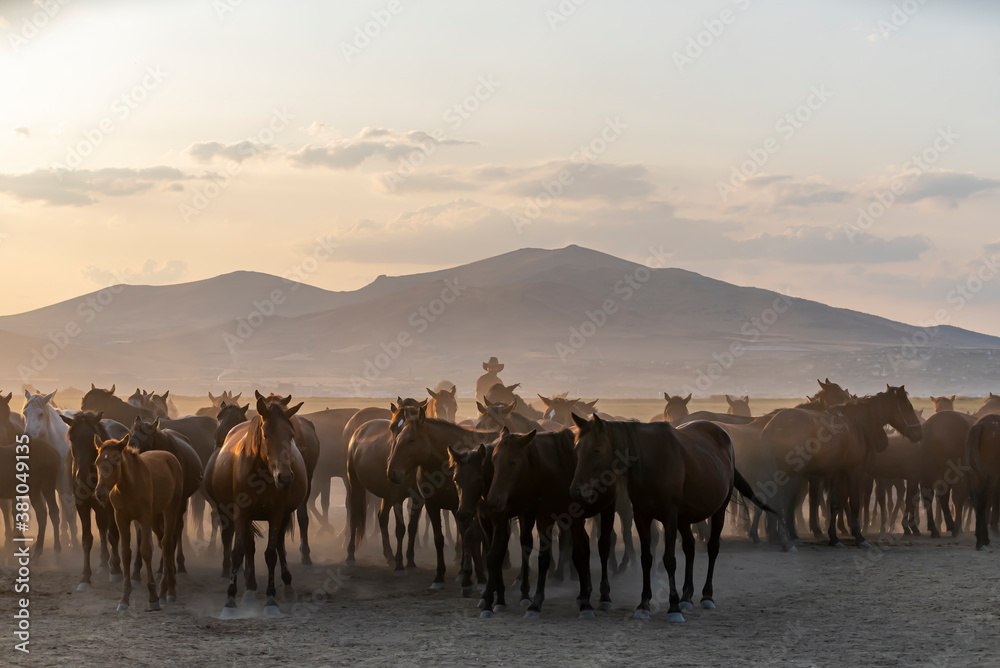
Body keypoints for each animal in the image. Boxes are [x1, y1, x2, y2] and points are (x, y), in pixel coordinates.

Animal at [22, 392, 75, 548]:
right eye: (25, 413)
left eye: (40, 414)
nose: (27, 436)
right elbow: (44, 511)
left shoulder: (64, 481)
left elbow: (68, 509)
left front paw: (76, 543)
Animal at [94, 436, 185, 612]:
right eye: (97, 462)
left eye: (116, 462)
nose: (100, 493)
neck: (127, 487)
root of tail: (171, 458)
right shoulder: (121, 518)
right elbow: (125, 553)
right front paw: (124, 599)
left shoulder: (145, 518)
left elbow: (146, 551)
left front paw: (153, 597)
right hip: (156, 519)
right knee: (163, 543)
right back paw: (167, 589)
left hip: (170, 510)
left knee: (167, 543)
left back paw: (167, 591)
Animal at [205, 392, 306, 616]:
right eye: (266, 435)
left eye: (291, 435)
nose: (285, 478)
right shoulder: (241, 513)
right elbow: (239, 551)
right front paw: (230, 600)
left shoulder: (277, 514)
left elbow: (271, 554)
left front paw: (271, 600)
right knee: (249, 547)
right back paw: (249, 590)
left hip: (284, 516)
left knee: (279, 546)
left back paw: (287, 587)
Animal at [572, 418, 764, 620]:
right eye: (577, 449)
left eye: (596, 450)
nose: (576, 491)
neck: (652, 462)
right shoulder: (641, 516)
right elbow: (646, 559)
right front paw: (644, 604)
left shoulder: (670, 517)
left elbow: (669, 560)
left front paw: (673, 607)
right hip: (684, 518)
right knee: (689, 548)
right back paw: (687, 597)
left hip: (718, 510)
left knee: (712, 549)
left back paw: (706, 596)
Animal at [760, 386, 924, 548]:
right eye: (908, 407)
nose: (919, 433)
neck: (856, 424)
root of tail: (770, 426)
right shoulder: (855, 471)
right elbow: (855, 503)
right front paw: (859, 537)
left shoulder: (838, 472)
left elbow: (835, 503)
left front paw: (834, 537)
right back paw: (786, 539)